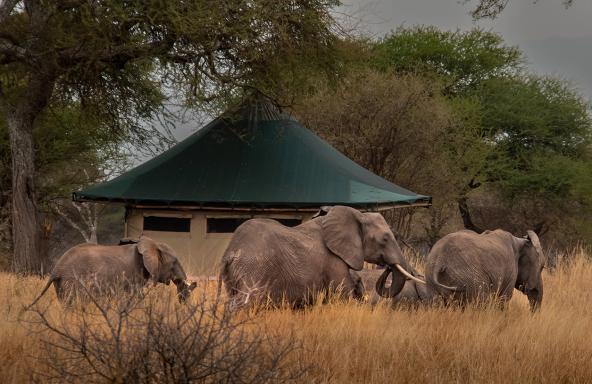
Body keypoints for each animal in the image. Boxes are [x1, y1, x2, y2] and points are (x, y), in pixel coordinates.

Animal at [27, 236, 197, 308]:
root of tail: (57, 268)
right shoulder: (133, 273)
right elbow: (136, 296)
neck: (152, 243)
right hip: (72, 280)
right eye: (174, 262)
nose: (183, 301)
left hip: (61, 283)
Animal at [220, 206, 424, 308]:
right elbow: (342, 294)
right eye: (385, 238)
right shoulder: (333, 260)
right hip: (254, 270)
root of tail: (230, 252)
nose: (388, 266)